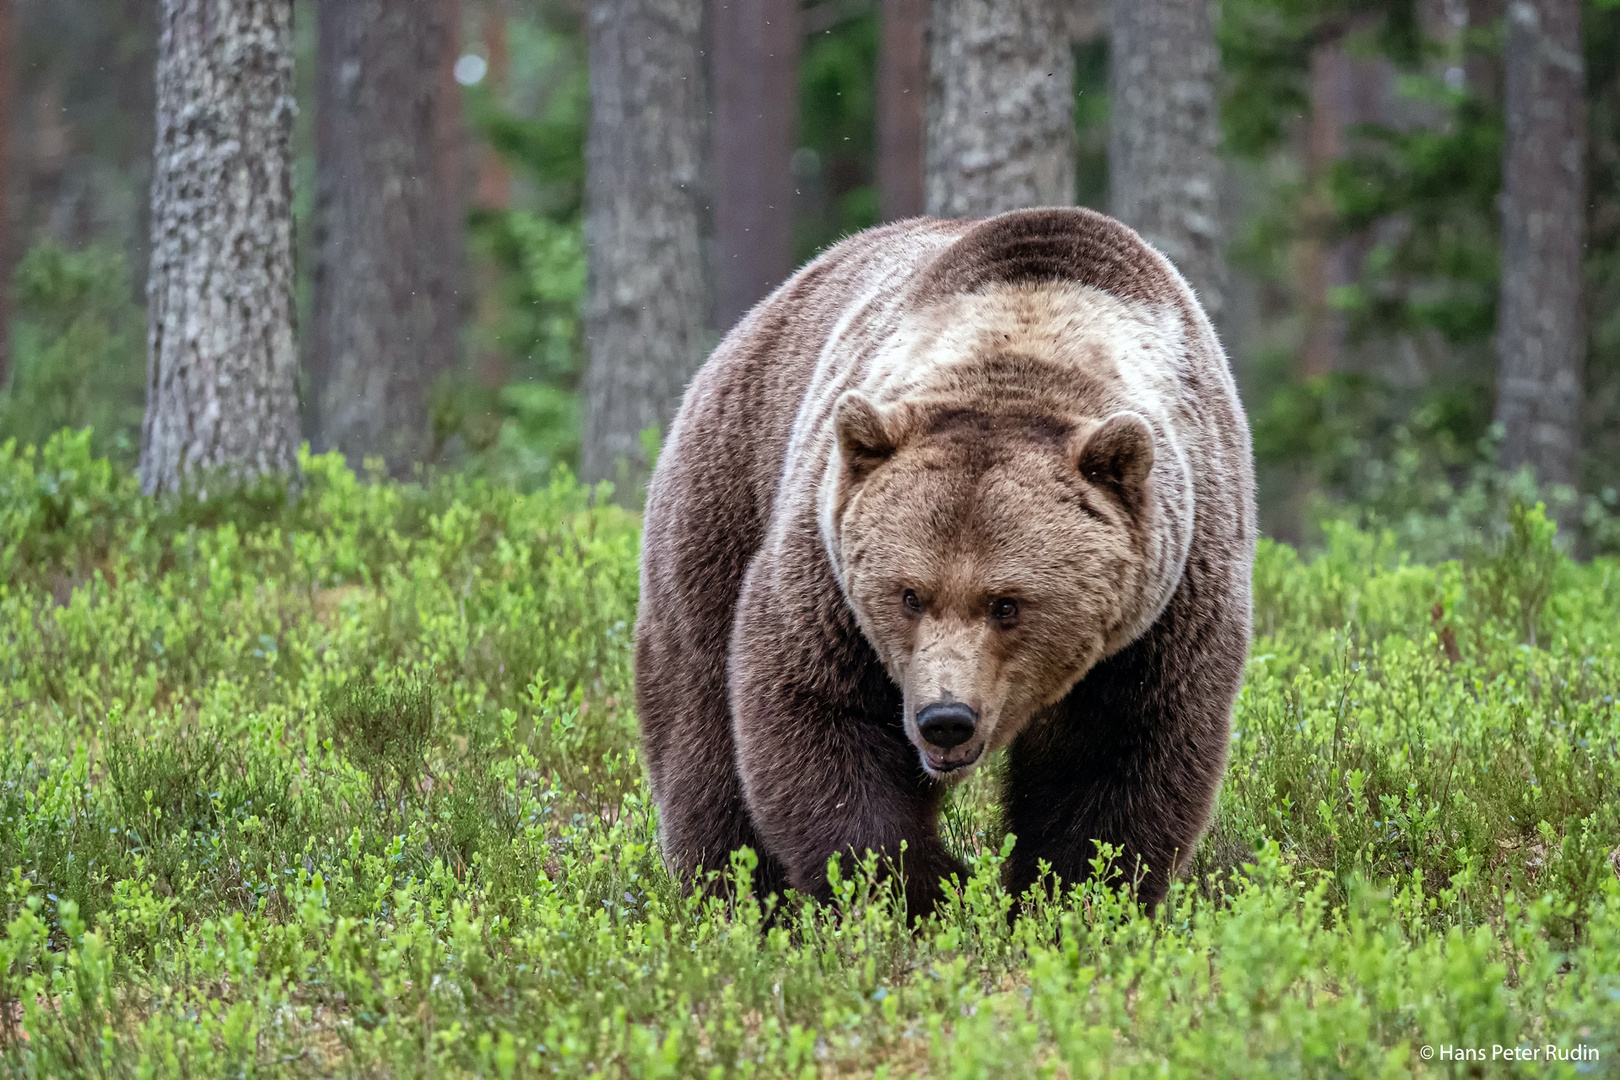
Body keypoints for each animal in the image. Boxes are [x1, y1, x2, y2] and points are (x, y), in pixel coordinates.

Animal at [631, 207, 1250, 919]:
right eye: (909, 595)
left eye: (1007, 604)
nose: (945, 720)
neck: (1028, 341)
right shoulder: (829, 575)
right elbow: (822, 717)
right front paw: (921, 891)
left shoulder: (1166, 603)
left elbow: (1117, 759)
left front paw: (1070, 900)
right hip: (723, 502)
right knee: (702, 724)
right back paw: (738, 897)